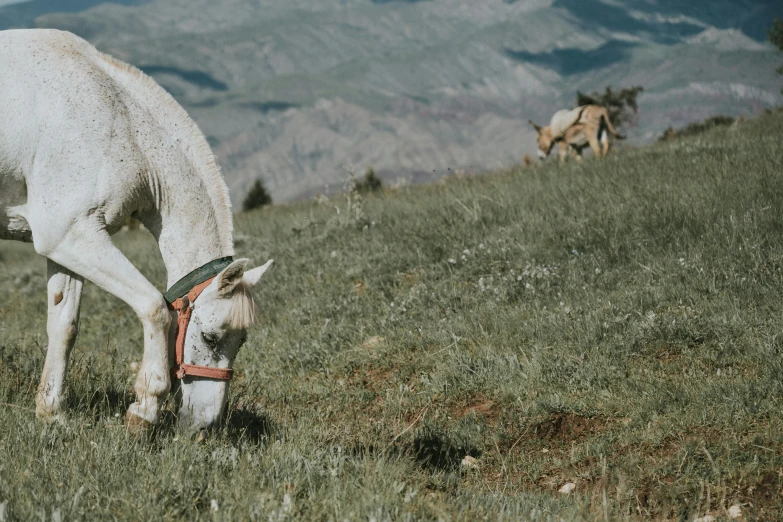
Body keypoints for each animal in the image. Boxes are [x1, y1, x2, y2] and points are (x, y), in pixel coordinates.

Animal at [0, 28, 274, 430]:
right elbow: (155, 307)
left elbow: (64, 325)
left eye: (242, 342)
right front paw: (145, 409)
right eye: (209, 337)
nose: (205, 424)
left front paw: (52, 412)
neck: (121, 118)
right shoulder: (70, 236)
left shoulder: (68, 246)